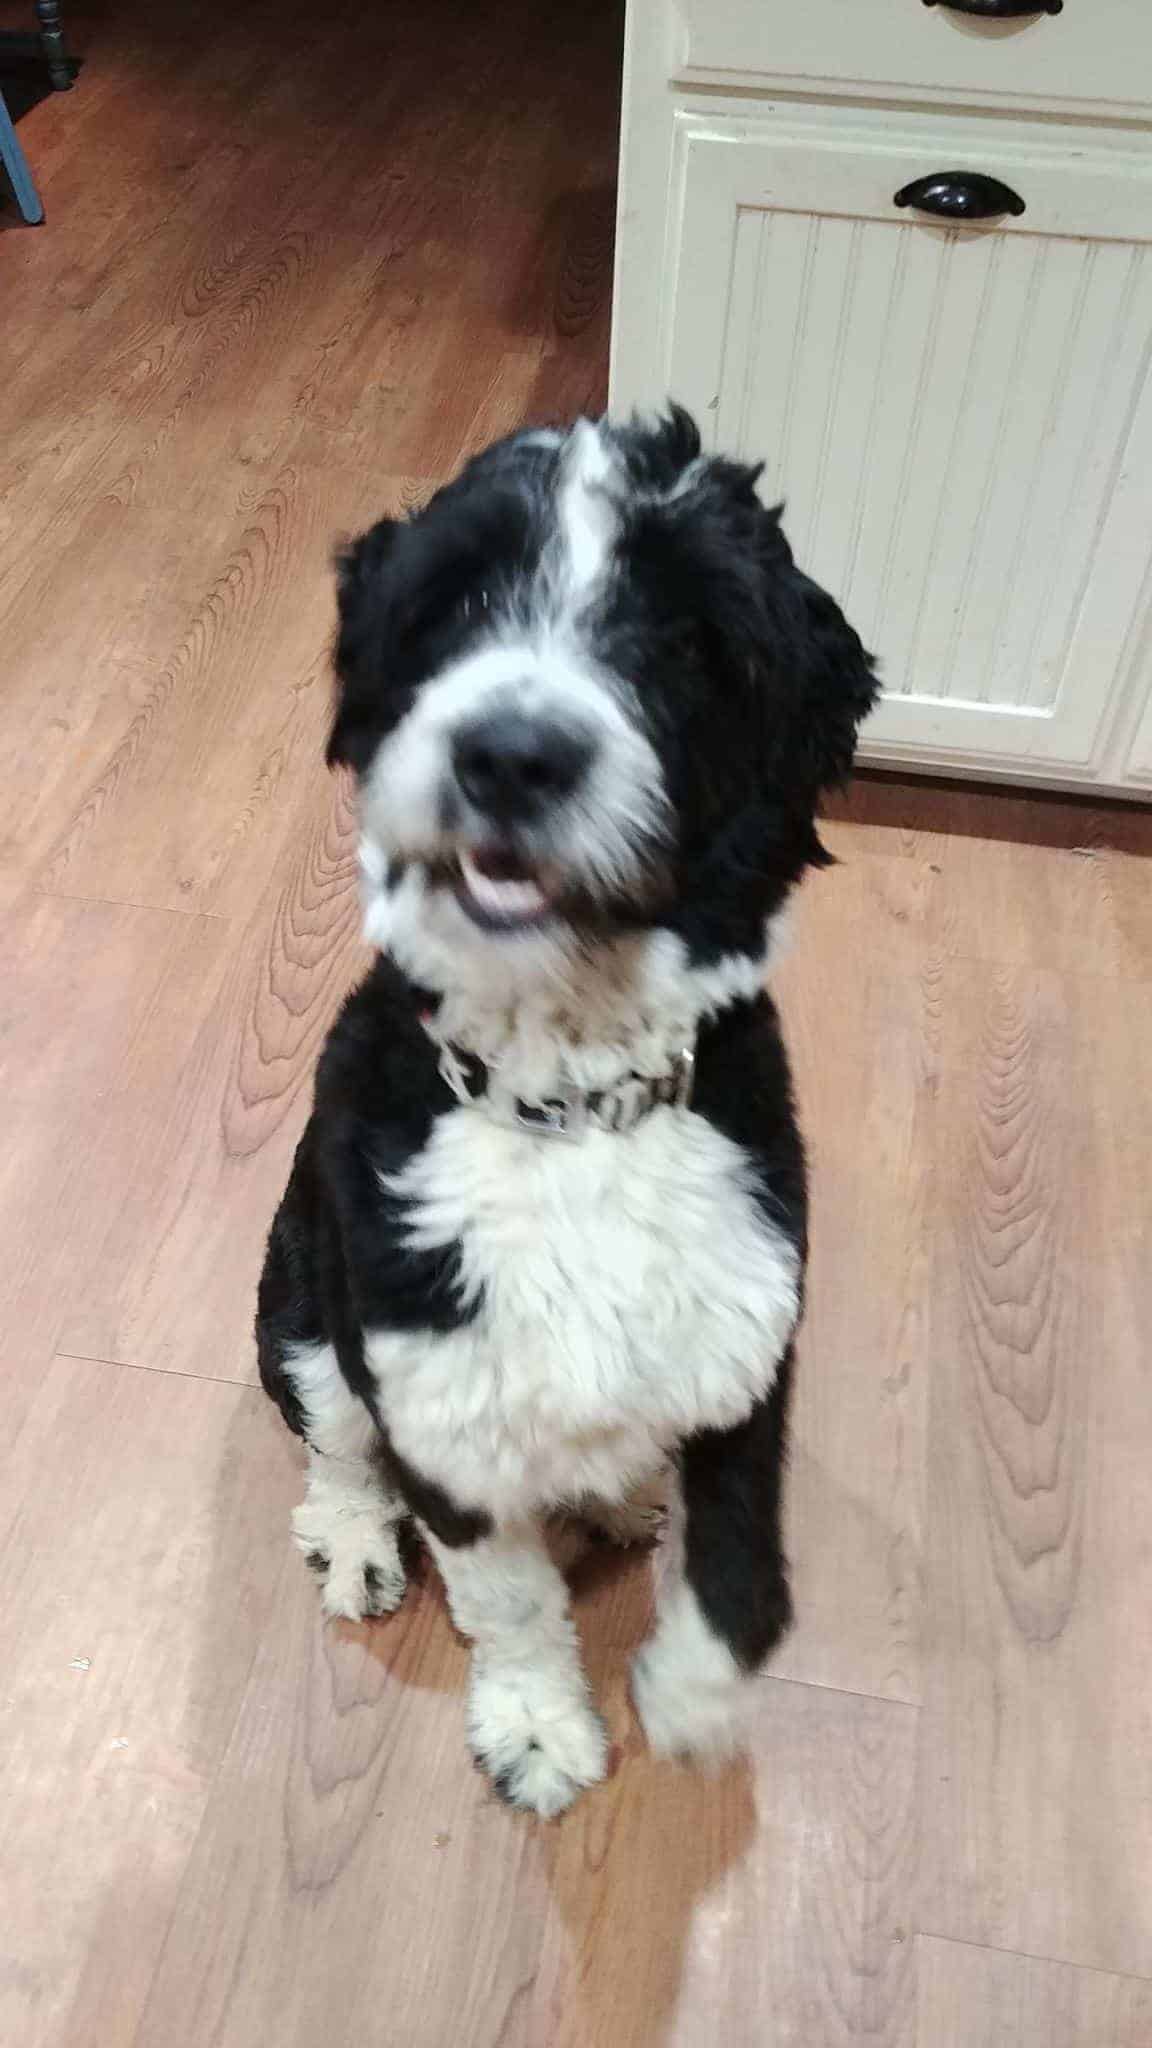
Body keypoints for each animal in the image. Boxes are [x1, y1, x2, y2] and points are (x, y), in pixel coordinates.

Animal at [256, 408, 878, 1816]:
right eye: (456, 598)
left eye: (693, 638)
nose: (511, 753)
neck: (575, 1102)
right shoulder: (437, 1399)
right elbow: (509, 1597)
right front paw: (538, 1727)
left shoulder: (750, 1346)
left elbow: (742, 1567)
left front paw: (694, 1695)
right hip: (301, 1304)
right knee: (335, 1447)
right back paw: (359, 1540)